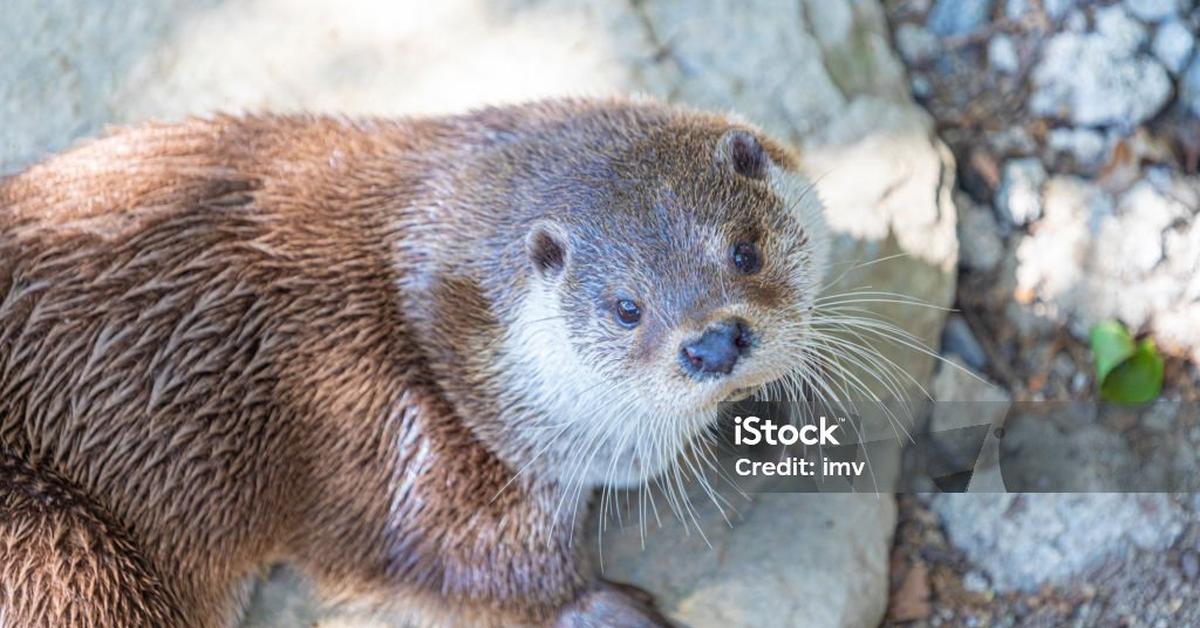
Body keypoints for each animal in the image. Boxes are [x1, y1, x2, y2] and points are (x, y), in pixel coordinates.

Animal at [0, 97, 825, 624]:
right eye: (626, 308)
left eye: (744, 250)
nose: (713, 343)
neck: (424, 307)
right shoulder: (391, 427)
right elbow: (453, 560)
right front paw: (606, 609)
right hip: (51, 545)